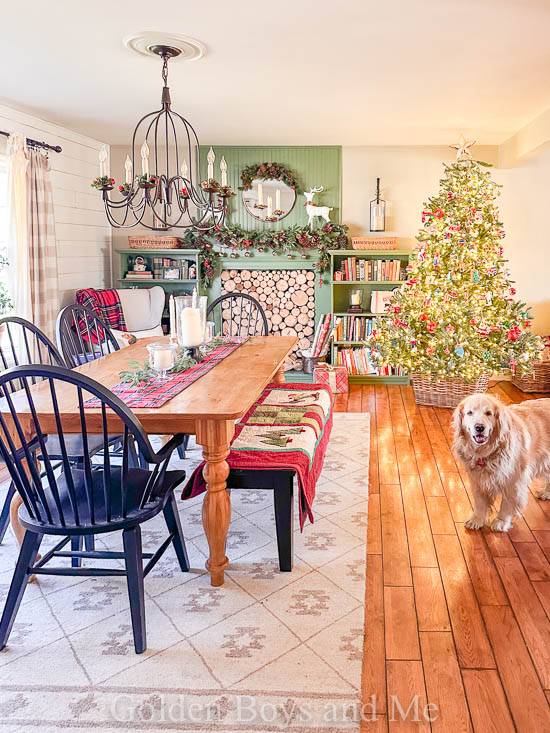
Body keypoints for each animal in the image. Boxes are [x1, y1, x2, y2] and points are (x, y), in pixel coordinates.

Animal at [452, 392, 550, 528]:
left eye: (488, 413)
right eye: (469, 413)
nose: (479, 427)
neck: (487, 452)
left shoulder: (513, 481)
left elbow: (507, 504)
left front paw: (501, 521)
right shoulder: (477, 479)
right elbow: (480, 502)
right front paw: (477, 519)